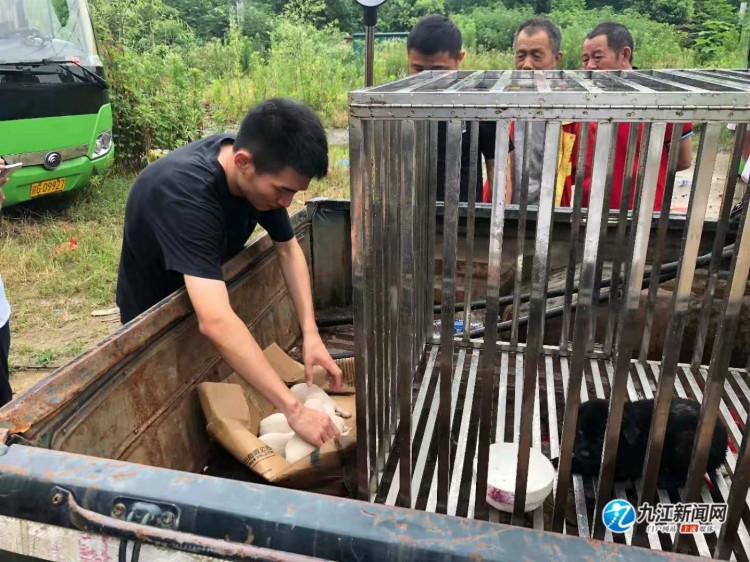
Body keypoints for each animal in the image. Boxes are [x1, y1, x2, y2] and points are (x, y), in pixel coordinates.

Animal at [576, 394, 728, 486]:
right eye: (580, 432)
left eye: (602, 437)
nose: (583, 453)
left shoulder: (620, 465)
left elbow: (587, 465)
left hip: (685, 442)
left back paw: (667, 480)